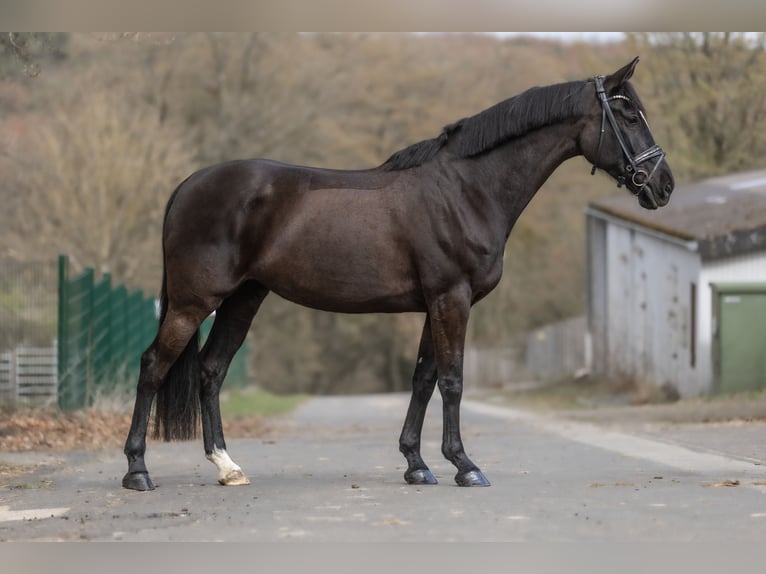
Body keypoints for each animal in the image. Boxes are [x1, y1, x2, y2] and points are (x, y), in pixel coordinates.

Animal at [122, 57, 674, 491]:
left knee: (212, 370)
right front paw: (465, 465)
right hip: (195, 301)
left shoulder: (437, 302)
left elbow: (423, 378)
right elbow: (452, 379)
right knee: (152, 366)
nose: (662, 185)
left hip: (243, 298)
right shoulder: (452, 297)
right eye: (627, 114)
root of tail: (188, 184)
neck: (467, 189)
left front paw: (416, 464)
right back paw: (138, 470)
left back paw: (227, 467)